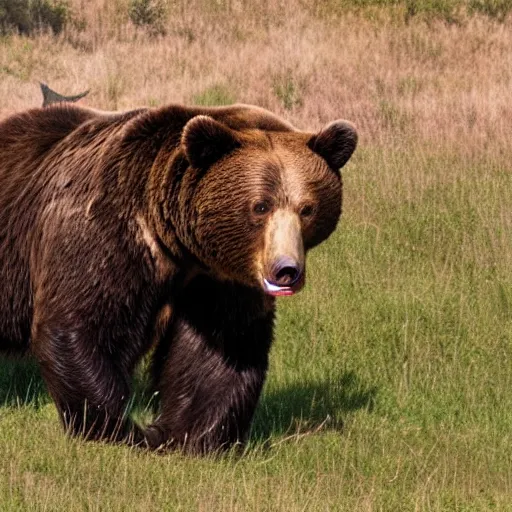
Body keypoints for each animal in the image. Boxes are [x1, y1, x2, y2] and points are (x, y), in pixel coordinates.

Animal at [0, 103, 356, 452]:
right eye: (260, 206)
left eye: (307, 208)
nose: (287, 270)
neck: (174, 243)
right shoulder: (107, 233)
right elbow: (83, 323)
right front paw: (120, 429)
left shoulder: (217, 279)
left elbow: (219, 351)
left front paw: (192, 436)